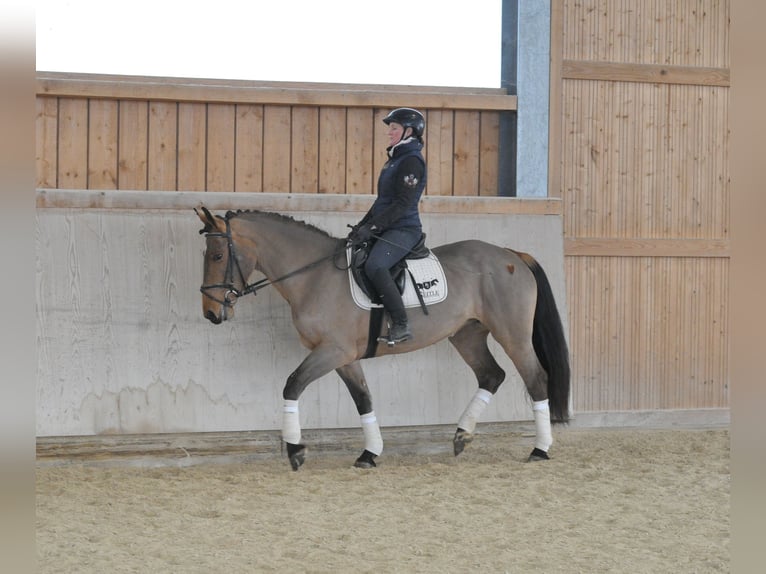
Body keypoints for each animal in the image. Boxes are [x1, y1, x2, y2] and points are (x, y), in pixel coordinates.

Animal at [195, 206, 570, 470]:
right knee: (492, 375)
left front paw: (295, 450)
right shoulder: (343, 357)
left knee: (536, 379)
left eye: (217, 256)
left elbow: (292, 385)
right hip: (467, 335)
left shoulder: (332, 351)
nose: (211, 313)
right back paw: (462, 436)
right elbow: (364, 399)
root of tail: (510, 254)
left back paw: (539, 449)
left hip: (513, 334)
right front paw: (369, 454)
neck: (314, 276)